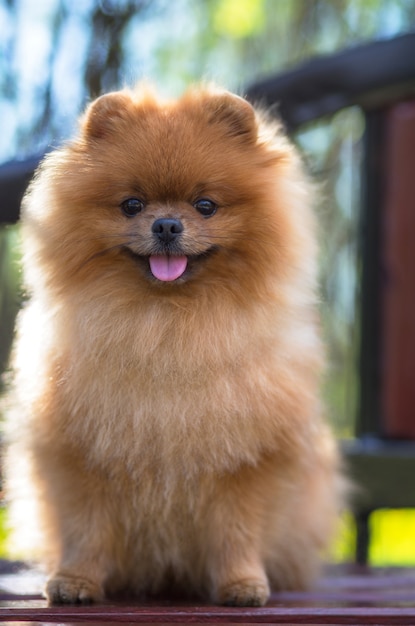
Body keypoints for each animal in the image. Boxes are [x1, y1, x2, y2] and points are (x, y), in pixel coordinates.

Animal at [5, 84, 344, 604]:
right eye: (131, 204)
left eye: (205, 205)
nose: (166, 224)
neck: (167, 327)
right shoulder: (80, 457)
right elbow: (86, 529)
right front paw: (75, 581)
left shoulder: (249, 463)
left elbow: (236, 531)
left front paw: (242, 584)